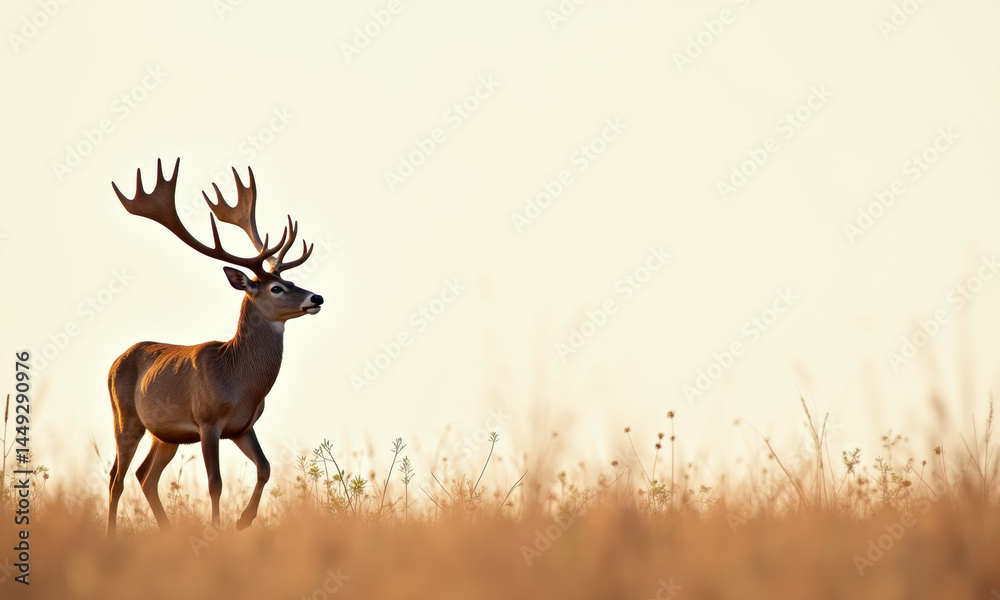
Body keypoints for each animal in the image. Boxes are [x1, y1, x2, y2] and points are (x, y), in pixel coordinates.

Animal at [106, 158, 323, 539]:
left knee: (145, 475)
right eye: (276, 288)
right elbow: (215, 482)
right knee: (117, 476)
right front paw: (218, 531)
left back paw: (167, 531)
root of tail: (114, 362)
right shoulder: (207, 421)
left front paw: (243, 520)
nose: (317, 298)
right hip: (125, 417)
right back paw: (111, 535)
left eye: (292, 280)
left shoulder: (244, 426)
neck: (239, 382)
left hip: (167, 434)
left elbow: (265, 468)